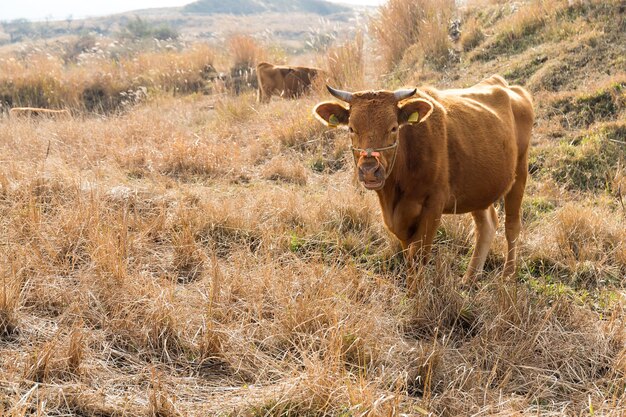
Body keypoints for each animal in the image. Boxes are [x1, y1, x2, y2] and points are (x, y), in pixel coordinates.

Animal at [312, 76, 532, 282]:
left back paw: (508, 275)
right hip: (479, 187)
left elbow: (418, 258)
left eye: (393, 128)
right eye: (351, 128)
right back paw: (470, 278)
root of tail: (506, 86)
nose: (369, 170)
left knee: (511, 226)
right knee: (486, 224)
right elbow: (409, 259)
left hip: (520, 173)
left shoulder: (433, 206)